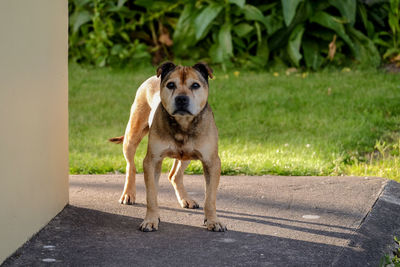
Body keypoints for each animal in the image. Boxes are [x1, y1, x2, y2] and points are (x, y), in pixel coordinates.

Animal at [109, 62, 227, 232]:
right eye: (171, 85)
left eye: (195, 85)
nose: (181, 98)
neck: (182, 124)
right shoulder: (152, 161)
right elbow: (151, 196)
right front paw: (151, 220)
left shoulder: (211, 162)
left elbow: (210, 198)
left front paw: (213, 221)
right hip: (132, 135)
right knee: (130, 166)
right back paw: (128, 194)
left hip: (186, 156)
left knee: (174, 175)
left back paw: (185, 199)